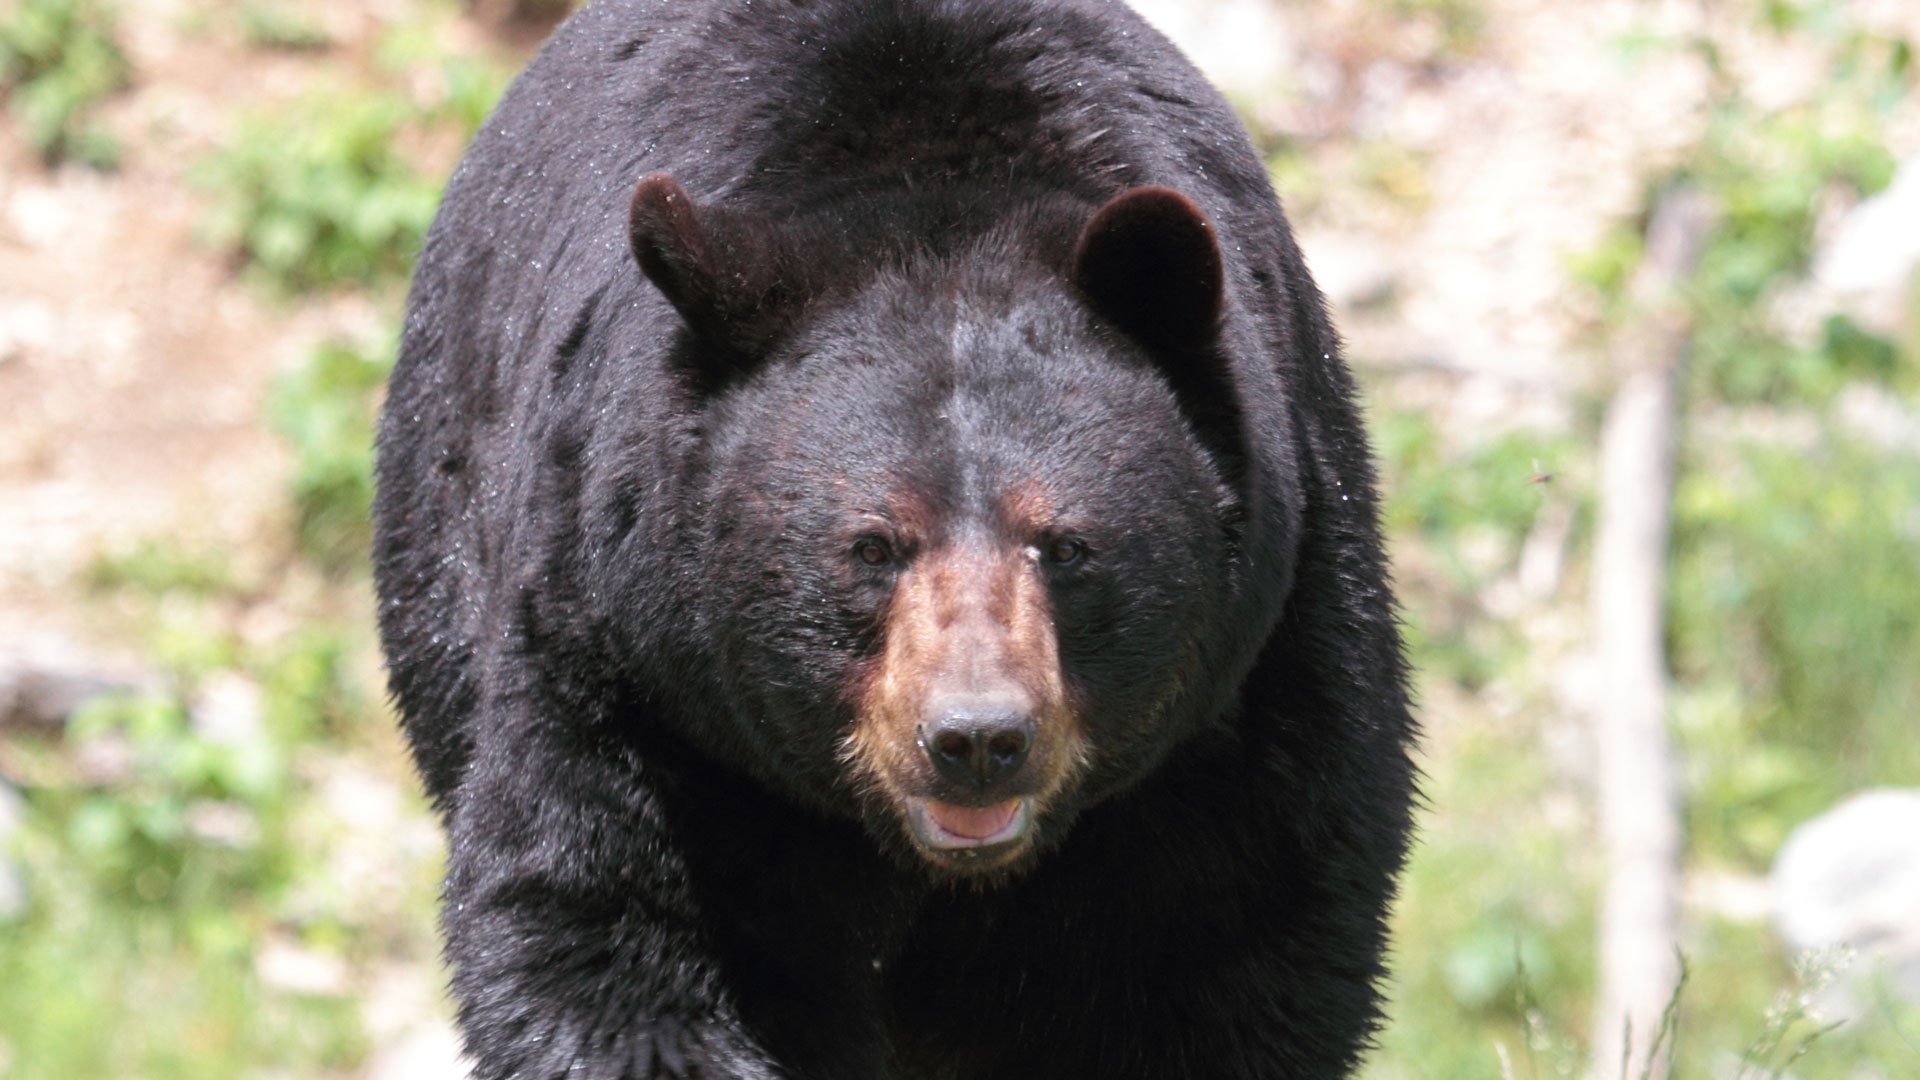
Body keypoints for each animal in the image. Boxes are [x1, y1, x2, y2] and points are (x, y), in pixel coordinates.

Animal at [371, 1, 1417, 1078]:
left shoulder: (1253, 692)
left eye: (1065, 545)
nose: (977, 740)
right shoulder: (634, 679)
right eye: (873, 546)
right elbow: (606, 924)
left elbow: (1226, 946)